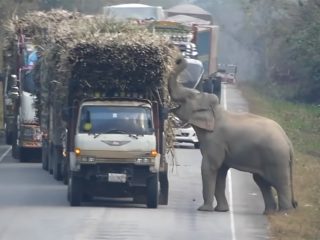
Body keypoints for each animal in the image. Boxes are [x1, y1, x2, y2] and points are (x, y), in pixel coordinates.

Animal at [169, 56, 298, 214]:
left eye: (188, 97)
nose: (179, 59)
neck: (217, 111)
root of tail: (288, 141)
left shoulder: (215, 140)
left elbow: (210, 167)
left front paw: (204, 209)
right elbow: (221, 172)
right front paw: (221, 210)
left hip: (276, 157)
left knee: (280, 183)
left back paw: (284, 213)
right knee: (261, 181)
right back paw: (269, 212)